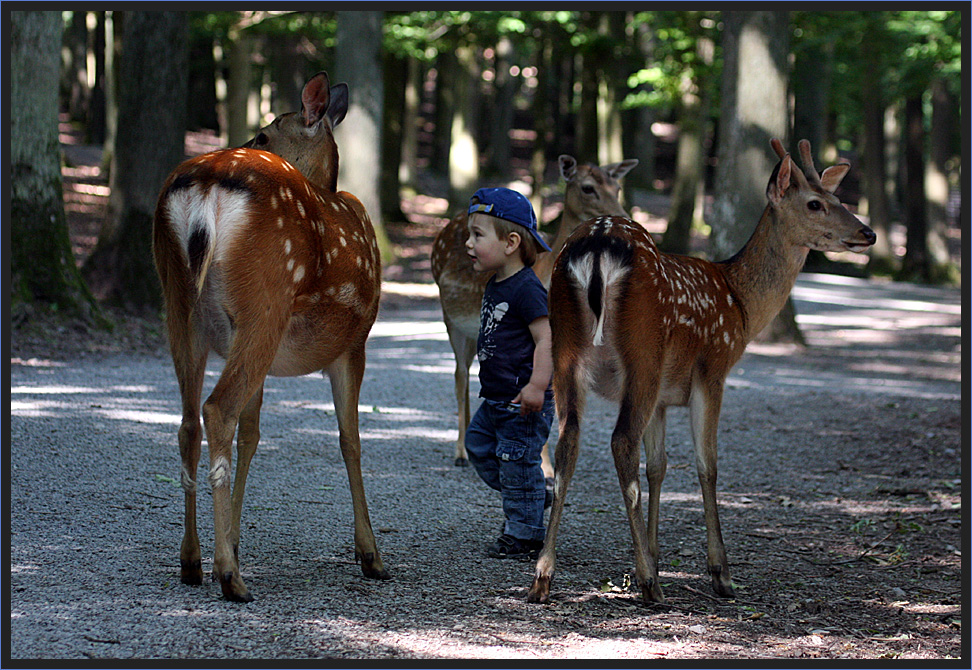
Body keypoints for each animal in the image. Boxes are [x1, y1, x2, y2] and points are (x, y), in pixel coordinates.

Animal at [152, 72, 388, 604]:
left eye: (263, 134)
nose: (248, 140)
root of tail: (205, 188)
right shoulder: (355, 339)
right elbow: (350, 439)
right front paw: (371, 555)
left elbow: (253, 434)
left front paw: (237, 539)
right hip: (267, 299)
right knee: (217, 409)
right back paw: (229, 577)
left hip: (182, 306)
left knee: (189, 421)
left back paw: (192, 561)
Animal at [430, 156, 636, 472]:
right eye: (588, 188)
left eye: (618, 186)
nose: (623, 217)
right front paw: (546, 469)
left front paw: (547, 467)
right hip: (449, 318)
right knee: (460, 375)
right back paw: (460, 453)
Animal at [528, 139, 876, 608]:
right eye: (815, 203)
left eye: (837, 199)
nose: (867, 233)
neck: (740, 304)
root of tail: (597, 247)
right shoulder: (713, 369)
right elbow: (707, 466)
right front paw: (719, 573)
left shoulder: (661, 399)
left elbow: (658, 466)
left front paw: (654, 554)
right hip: (642, 353)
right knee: (620, 442)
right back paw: (649, 586)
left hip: (565, 350)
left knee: (570, 442)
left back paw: (543, 577)